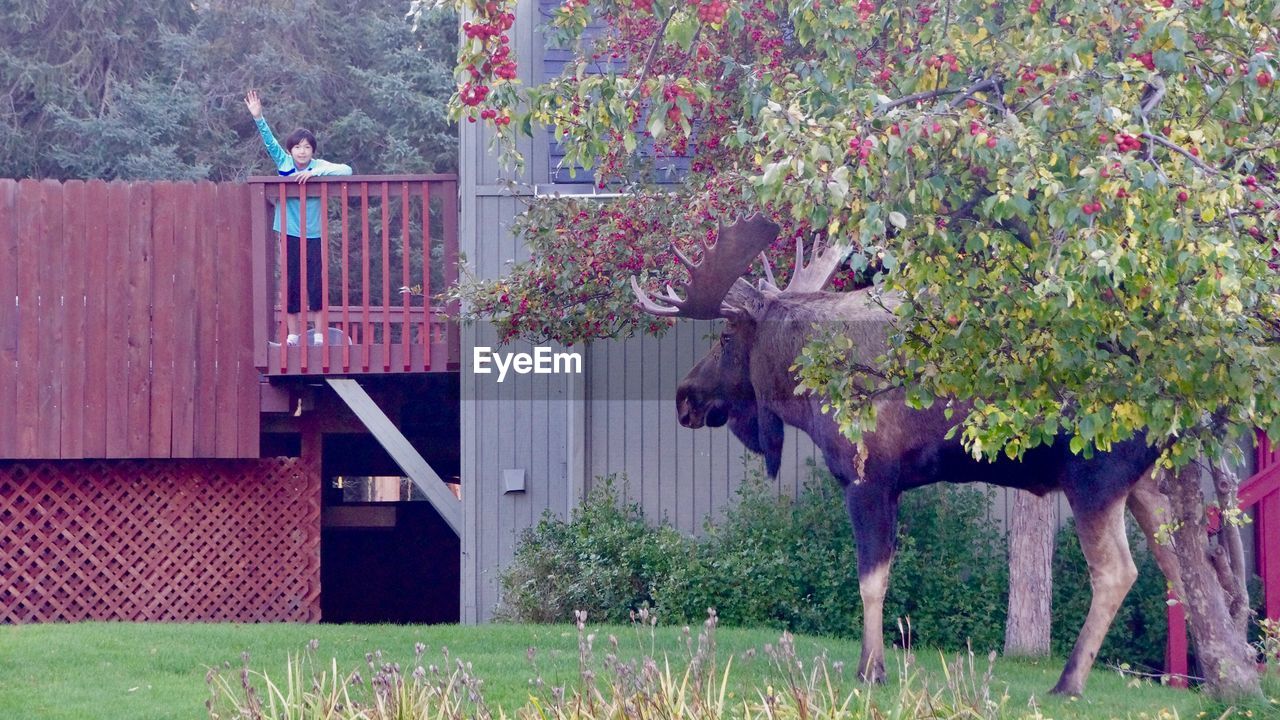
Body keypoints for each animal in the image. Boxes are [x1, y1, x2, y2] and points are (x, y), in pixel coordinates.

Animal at [634, 213, 1182, 696]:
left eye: (726, 339)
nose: (685, 398)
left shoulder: (868, 479)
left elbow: (870, 581)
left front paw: (871, 670)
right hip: (1148, 486)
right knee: (1183, 574)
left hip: (1094, 480)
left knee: (1118, 572)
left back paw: (1069, 682)